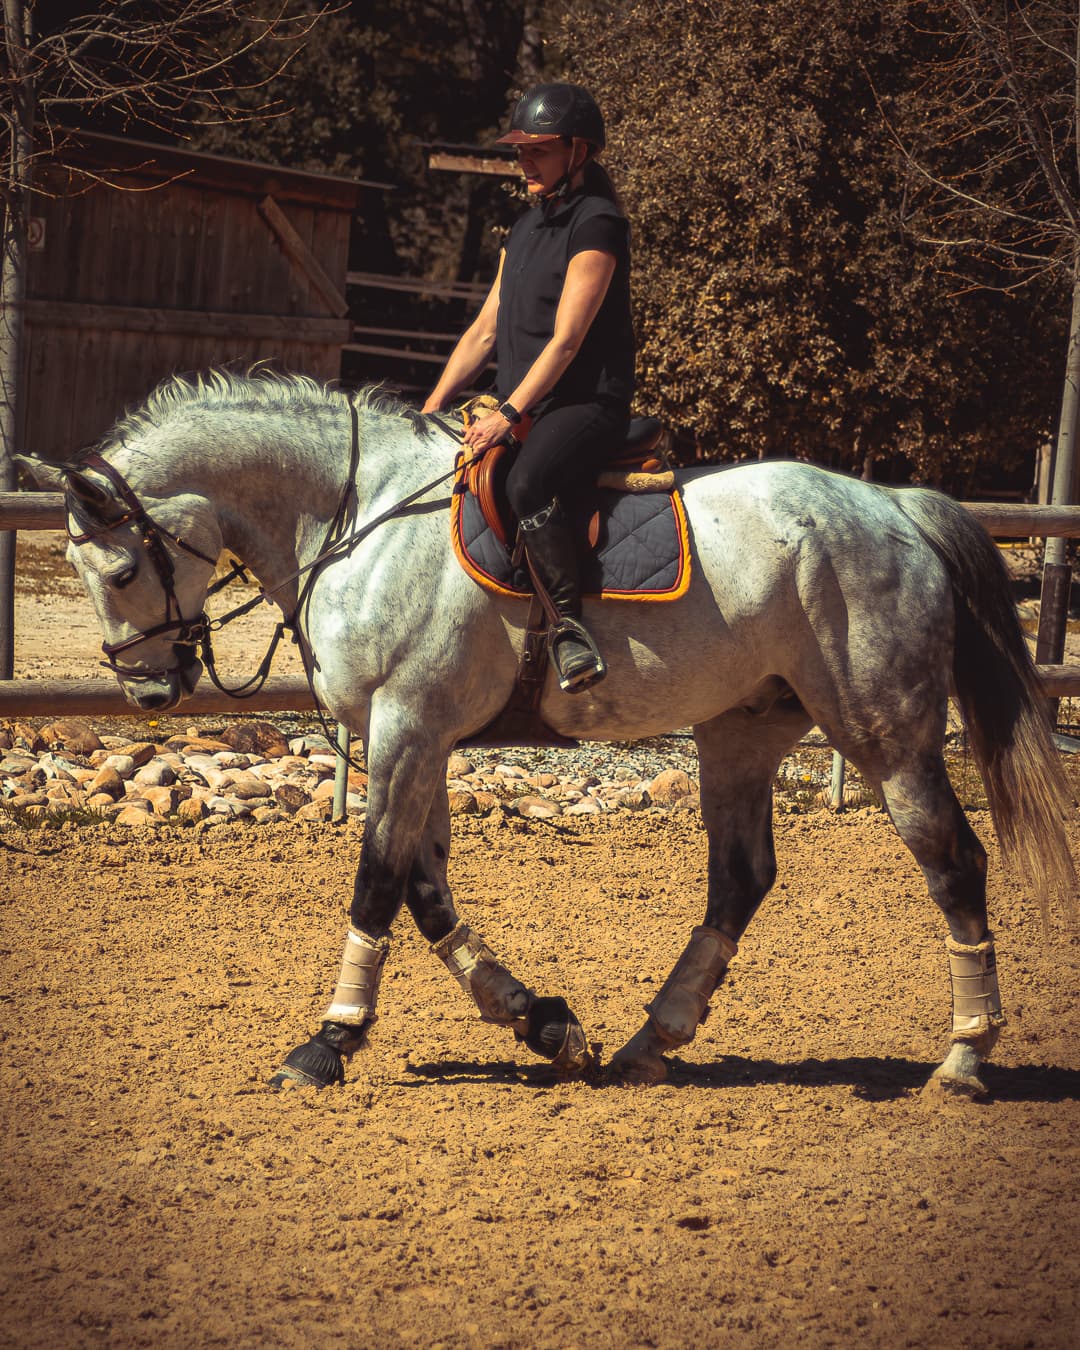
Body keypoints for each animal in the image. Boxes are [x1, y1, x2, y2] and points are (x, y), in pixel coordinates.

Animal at [17, 370, 1075, 1098]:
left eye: (119, 571)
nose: (149, 691)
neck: (355, 517)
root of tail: (892, 506)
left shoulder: (408, 728)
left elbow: (378, 884)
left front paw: (329, 1040)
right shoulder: (417, 740)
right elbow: (427, 895)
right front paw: (543, 1025)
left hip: (884, 735)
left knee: (953, 863)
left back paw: (965, 1058)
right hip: (741, 730)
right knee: (742, 879)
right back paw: (653, 1041)